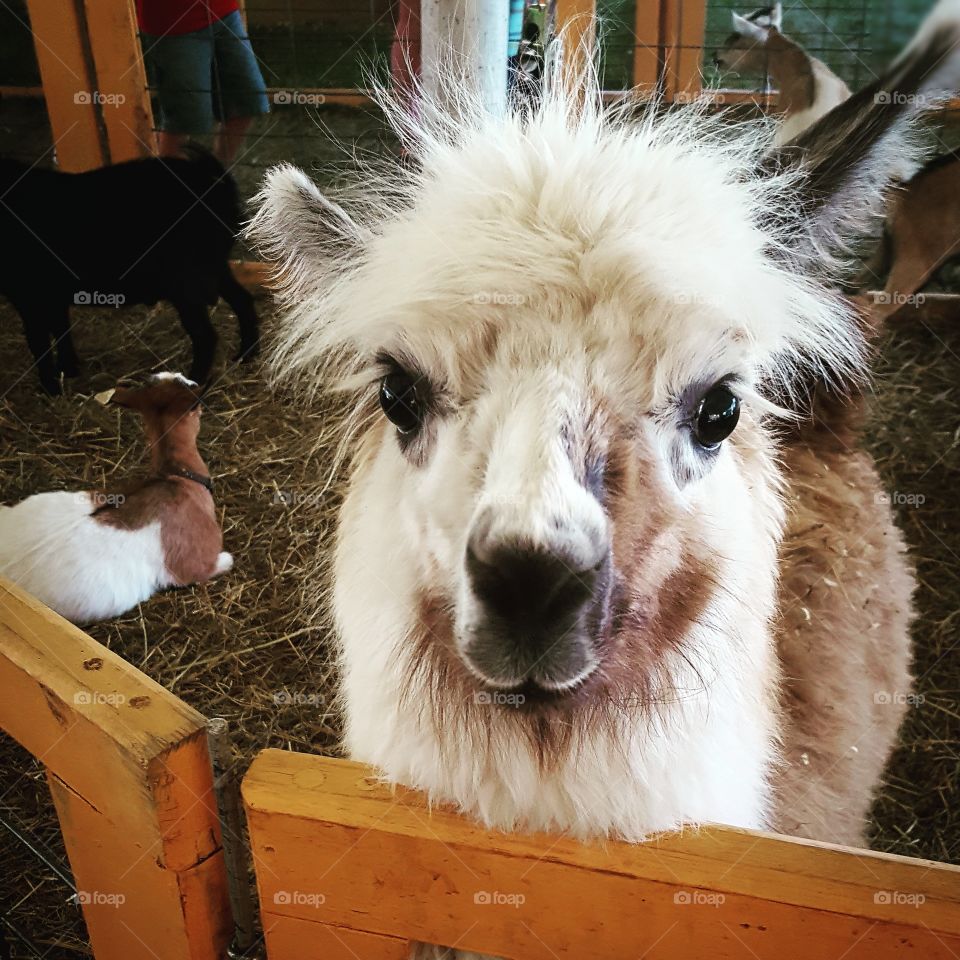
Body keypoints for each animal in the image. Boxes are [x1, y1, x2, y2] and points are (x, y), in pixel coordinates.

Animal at [0, 147, 258, 394]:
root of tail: (220, 188)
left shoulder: (29, 295)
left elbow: (38, 341)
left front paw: (50, 388)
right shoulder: (51, 295)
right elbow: (60, 328)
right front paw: (68, 369)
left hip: (187, 282)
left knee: (205, 335)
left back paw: (192, 382)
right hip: (215, 266)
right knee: (243, 300)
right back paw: (246, 355)